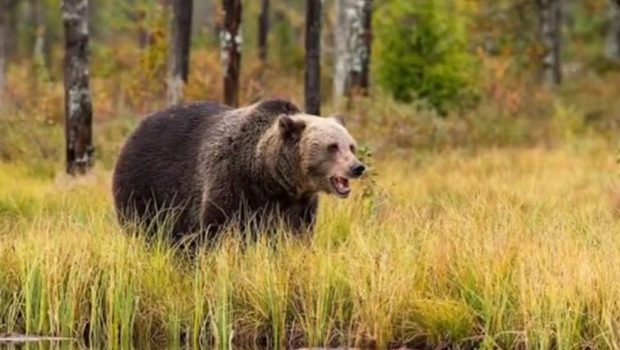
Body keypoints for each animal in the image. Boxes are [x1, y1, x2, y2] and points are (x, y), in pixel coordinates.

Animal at [112, 98, 366, 243]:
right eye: (332, 147)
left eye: (351, 145)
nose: (357, 167)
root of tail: (136, 128)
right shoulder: (232, 182)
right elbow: (216, 228)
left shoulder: (298, 204)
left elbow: (297, 234)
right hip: (146, 186)